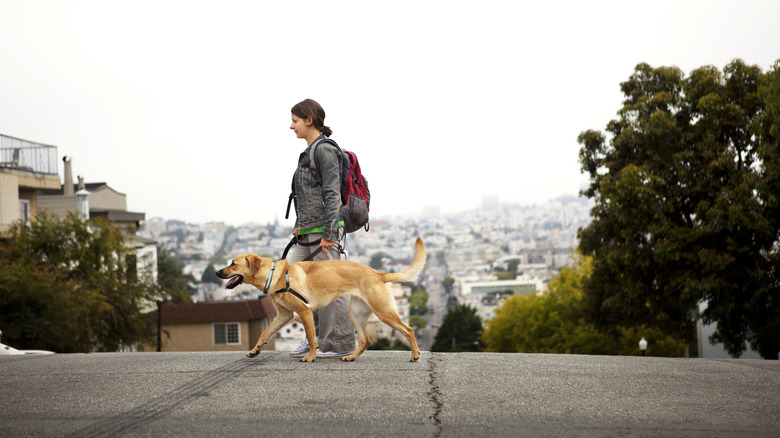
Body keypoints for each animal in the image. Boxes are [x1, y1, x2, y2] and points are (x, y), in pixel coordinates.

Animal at [215, 236, 426, 362]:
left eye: (233, 264)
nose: (217, 272)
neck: (276, 275)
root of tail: (378, 273)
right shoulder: (284, 316)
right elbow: (264, 333)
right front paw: (255, 350)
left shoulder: (304, 311)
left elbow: (311, 337)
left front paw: (310, 357)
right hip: (356, 313)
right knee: (365, 340)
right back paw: (351, 357)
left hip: (383, 312)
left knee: (408, 329)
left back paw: (416, 354)